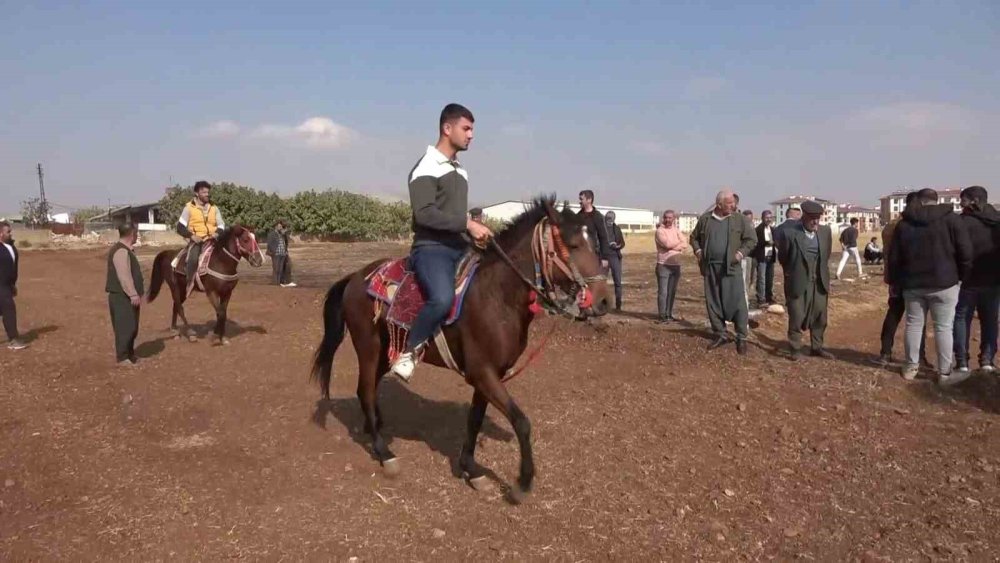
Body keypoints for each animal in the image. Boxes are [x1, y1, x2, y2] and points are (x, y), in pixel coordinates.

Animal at [310, 199, 608, 502]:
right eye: (573, 245)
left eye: (595, 243)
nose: (603, 301)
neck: (497, 296)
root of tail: (356, 277)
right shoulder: (482, 373)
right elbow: (521, 422)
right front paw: (522, 483)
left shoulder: (490, 375)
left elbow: (474, 420)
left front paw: (471, 469)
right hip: (368, 348)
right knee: (366, 390)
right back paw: (385, 453)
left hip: (384, 352)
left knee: (367, 390)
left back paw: (374, 429)